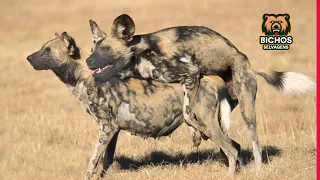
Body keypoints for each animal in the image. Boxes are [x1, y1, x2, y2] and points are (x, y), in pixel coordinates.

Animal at [28, 32, 240, 180]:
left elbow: (93, 160)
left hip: (205, 123)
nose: (28, 58)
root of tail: (211, 77)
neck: (84, 77)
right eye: (42, 48)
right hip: (209, 126)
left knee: (232, 150)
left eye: (47, 50)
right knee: (233, 146)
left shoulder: (107, 128)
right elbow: (106, 161)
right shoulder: (112, 130)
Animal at [85, 14, 316, 168]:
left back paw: (257, 170)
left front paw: (197, 134)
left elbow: (188, 115)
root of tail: (245, 59)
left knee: (255, 143)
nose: (88, 61)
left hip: (247, 109)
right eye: (93, 49)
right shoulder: (187, 82)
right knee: (230, 145)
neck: (139, 55)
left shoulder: (190, 74)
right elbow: (188, 115)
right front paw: (197, 134)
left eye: (105, 50)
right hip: (226, 109)